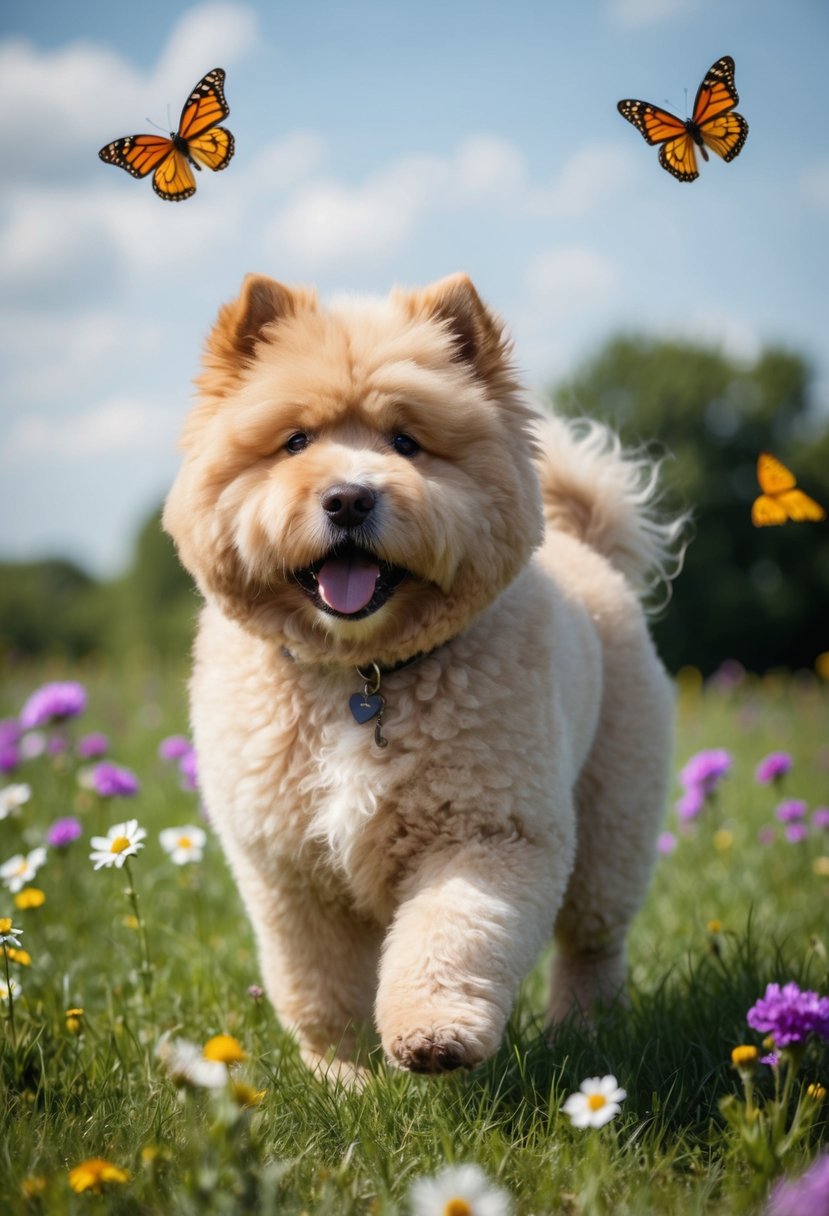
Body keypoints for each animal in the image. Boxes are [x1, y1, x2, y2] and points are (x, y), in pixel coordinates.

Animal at [164, 271, 680, 1079]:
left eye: (406, 442)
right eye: (296, 441)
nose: (349, 496)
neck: (362, 678)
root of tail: (587, 548)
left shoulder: (487, 836)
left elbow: (452, 935)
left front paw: (434, 1037)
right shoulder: (291, 873)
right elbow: (321, 990)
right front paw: (342, 1079)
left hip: (612, 825)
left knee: (591, 944)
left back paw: (581, 1032)